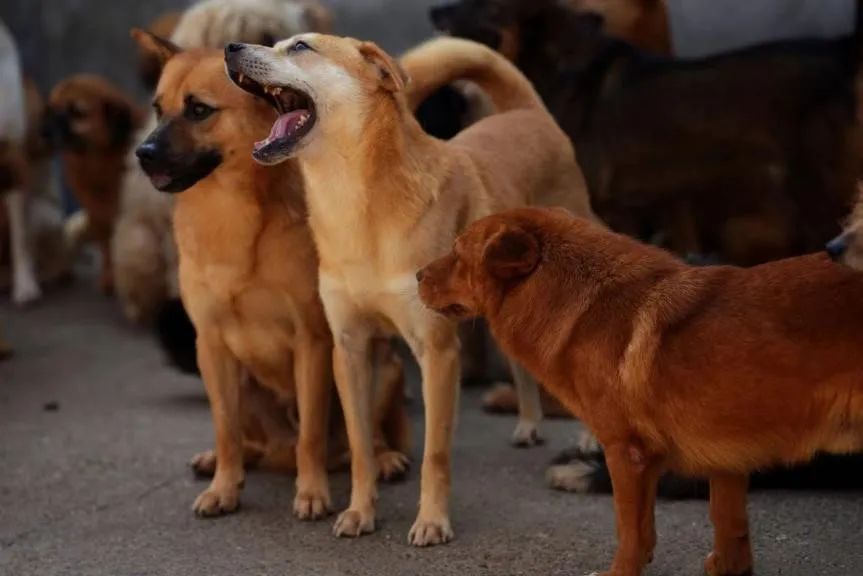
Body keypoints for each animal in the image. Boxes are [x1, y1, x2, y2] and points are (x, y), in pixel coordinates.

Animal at [47, 74, 145, 294]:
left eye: (77, 112)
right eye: (52, 109)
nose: (45, 126)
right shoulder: (98, 217)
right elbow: (107, 249)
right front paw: (109, 278)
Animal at [133, 31, 410, 516]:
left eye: (199, 110)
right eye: (157, 108)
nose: (142, 154)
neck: (230, 213)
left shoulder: (312, 342)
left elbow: (311, 434)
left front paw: (312, 492)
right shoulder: (210, 344)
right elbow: (225, 428)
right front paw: (225, 487)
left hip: (383, 365)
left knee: (364, 434)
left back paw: (384, 457)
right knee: (247, 440)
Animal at [416, 207, 863, 576]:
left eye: (457, 253)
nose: (417, 274)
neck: (571, 297)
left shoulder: (627, 454)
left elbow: (632, 531)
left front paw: (618, 572)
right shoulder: (727, 457)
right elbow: (727, 524)